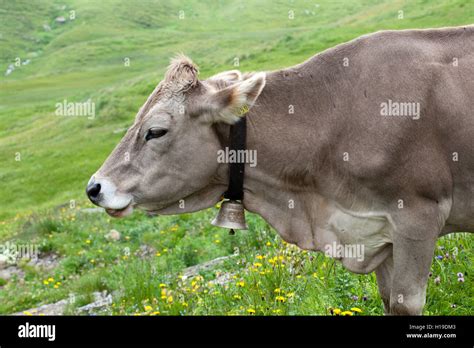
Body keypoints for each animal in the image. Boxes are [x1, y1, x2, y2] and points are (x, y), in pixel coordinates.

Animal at [86, 26, 474, 316]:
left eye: (155, 130)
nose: (94, 188)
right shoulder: (373, 229)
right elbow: (387, 300)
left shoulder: (418, 216)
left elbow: (406, 305)